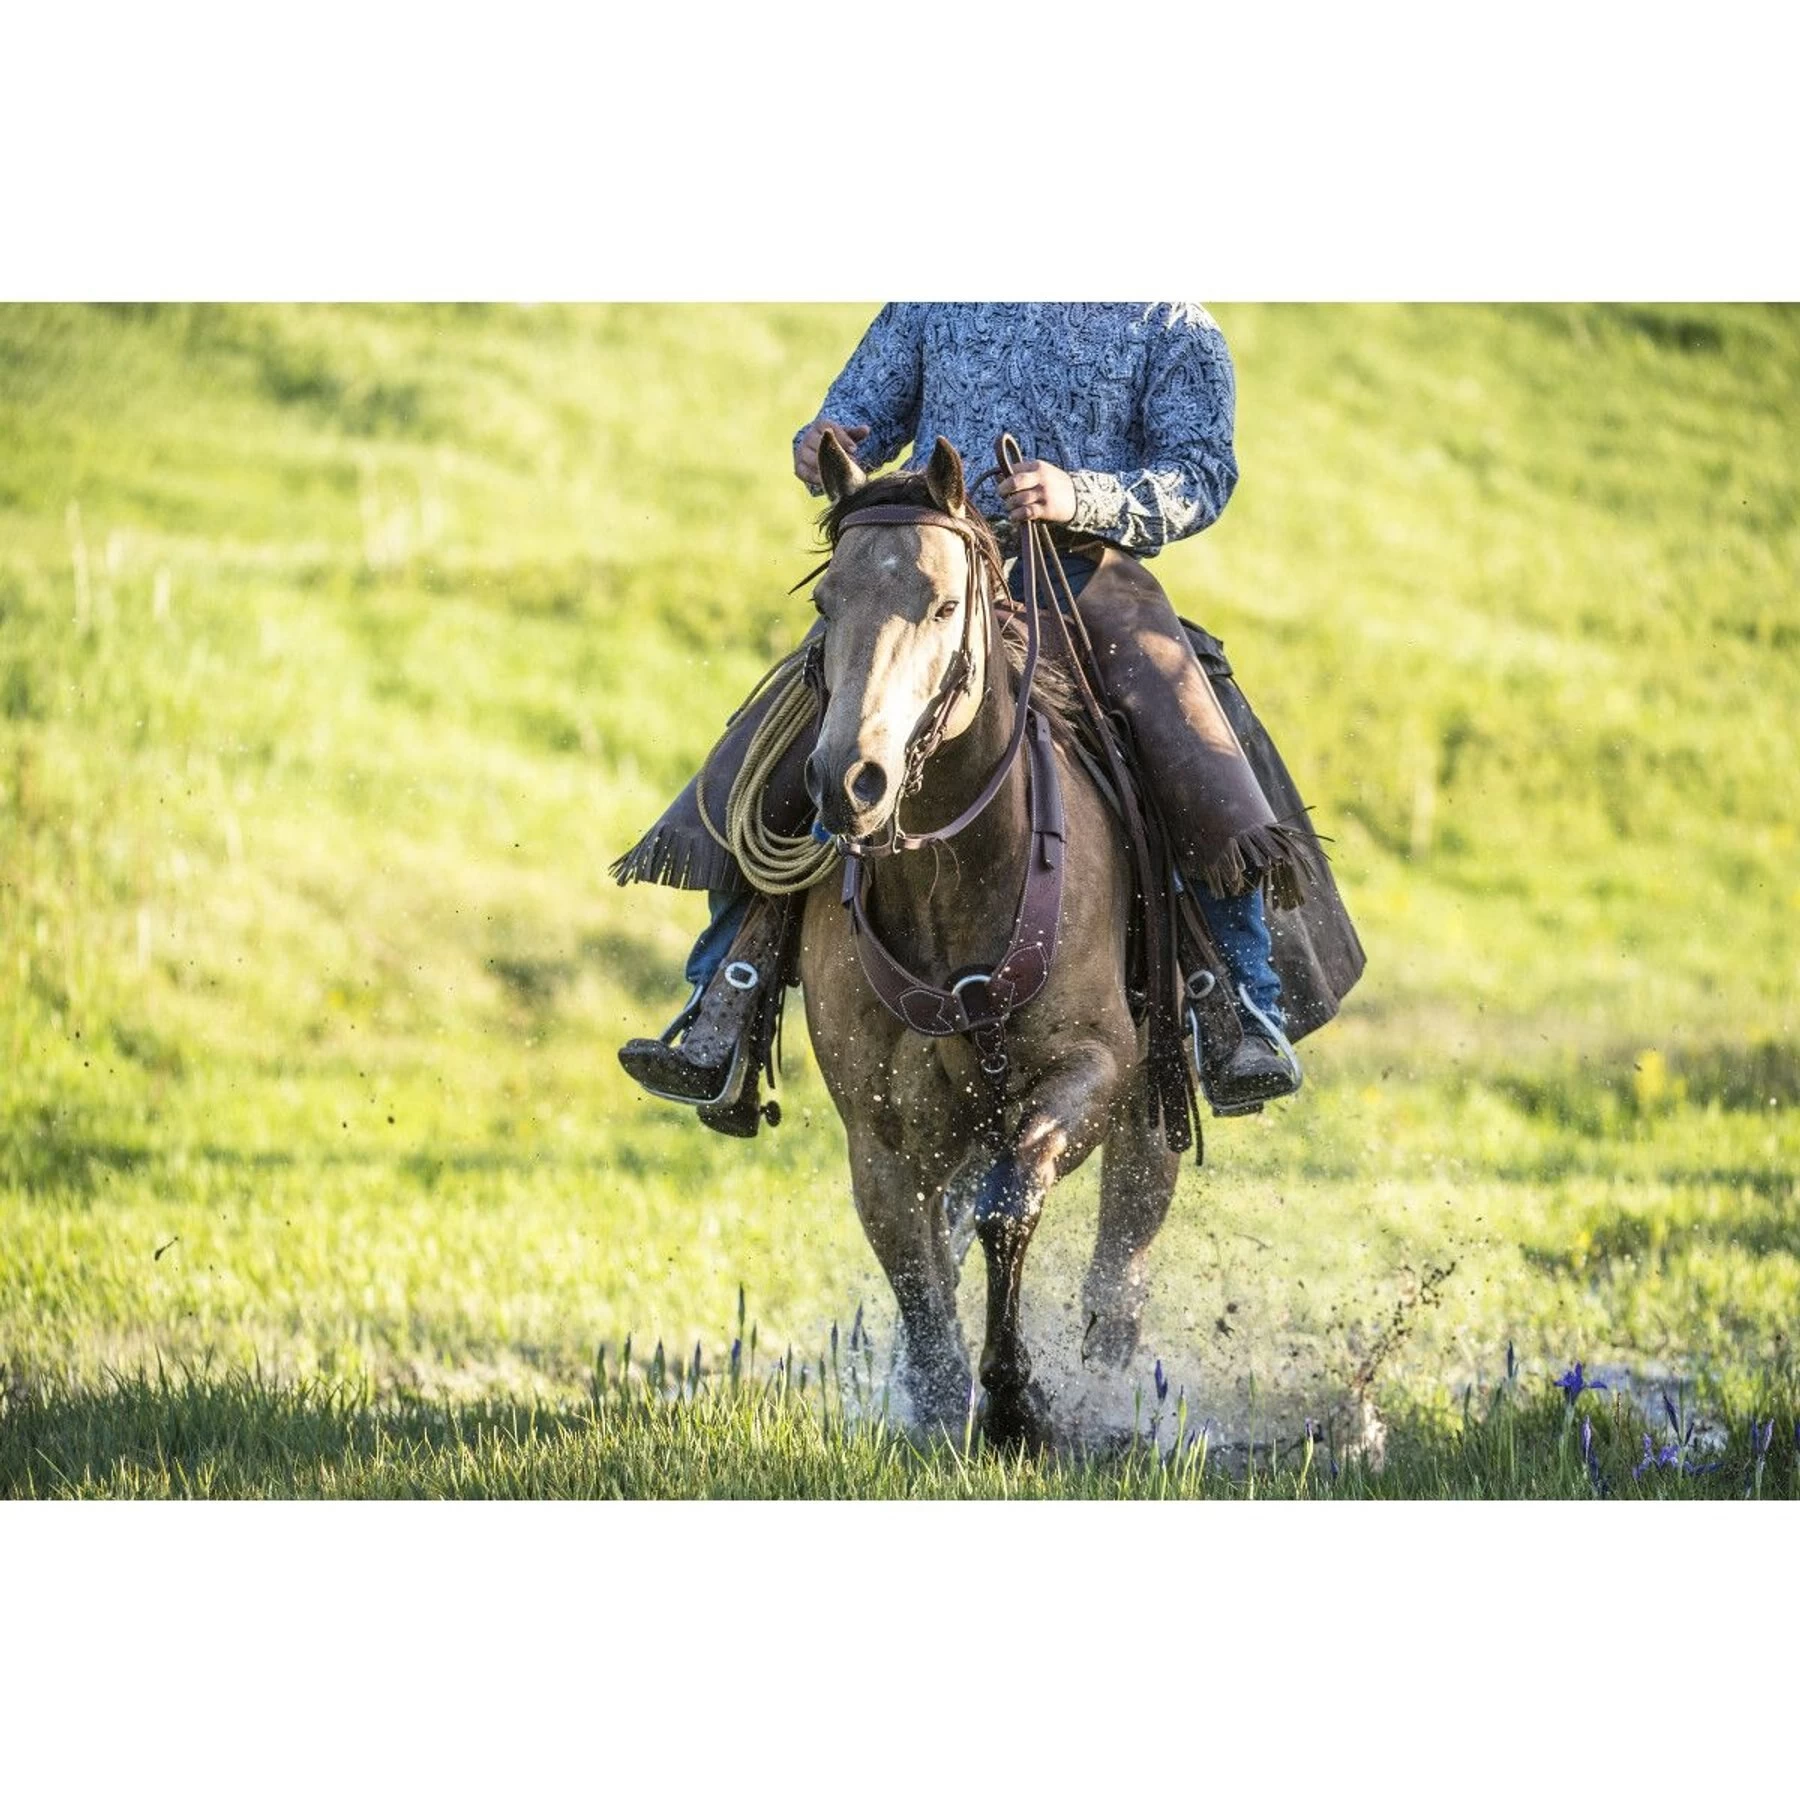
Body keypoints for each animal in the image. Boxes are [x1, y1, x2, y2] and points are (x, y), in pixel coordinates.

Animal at [796, 433, 1183, 1452]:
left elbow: (1013, 1206)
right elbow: (915, 1262)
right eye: (824, 602)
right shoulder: (879, 1136)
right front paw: (938, 1405)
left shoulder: (1094, 1067)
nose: (848, 781)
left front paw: (1015, 1403)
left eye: (941, 603)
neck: (957, 884)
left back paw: (1107, 1388)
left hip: (1152, 1101)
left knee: (1121, 1253)